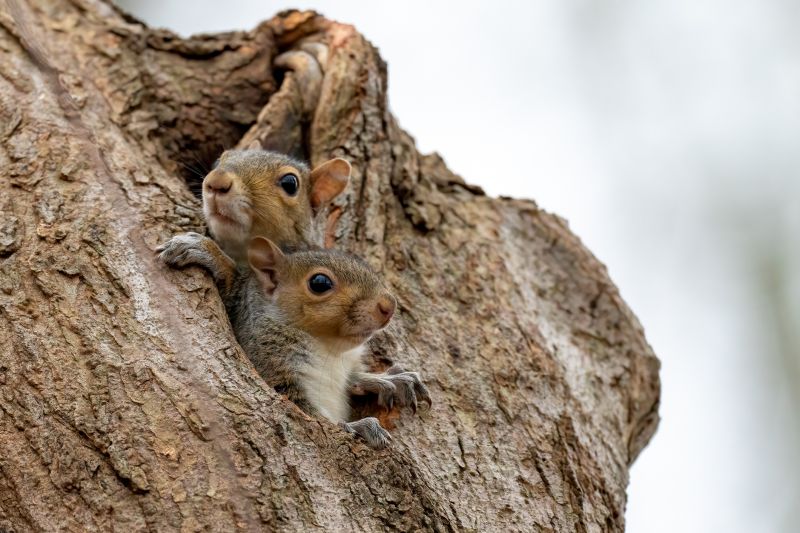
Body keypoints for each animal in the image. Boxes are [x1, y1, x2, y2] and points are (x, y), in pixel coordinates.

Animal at [220, 236, 429, 448]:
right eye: (320, 283)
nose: (389, 306)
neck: (328, 347)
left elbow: (353, 377)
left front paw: (387, 379)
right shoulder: (272, 366)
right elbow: (312, 415)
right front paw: (358, 425)